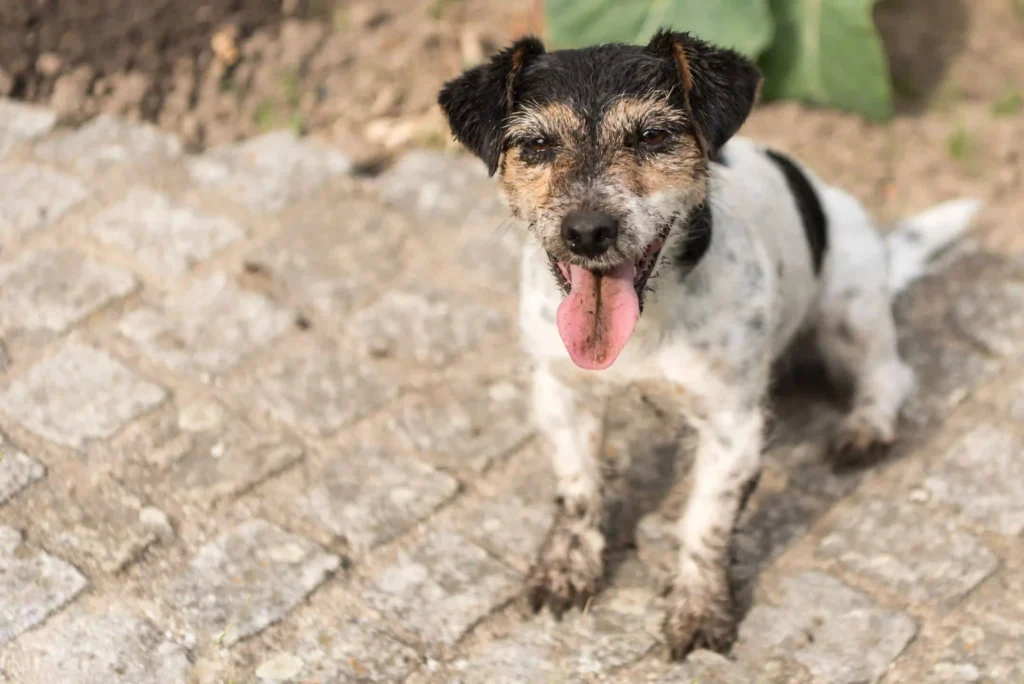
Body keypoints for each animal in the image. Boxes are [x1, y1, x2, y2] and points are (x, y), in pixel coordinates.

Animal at [436, 30, 978, 655]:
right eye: (537, 143)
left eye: (653, 136)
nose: (588, 232)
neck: (646, 321)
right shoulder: (562, 391)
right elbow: (577, 489)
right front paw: (568, 567)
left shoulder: (732, 423)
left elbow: (705, 522)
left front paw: (699, 608)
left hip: (849, 310)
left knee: (889, 373)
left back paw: (866, 426)